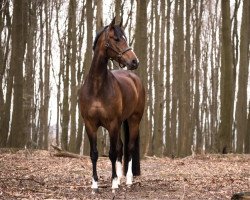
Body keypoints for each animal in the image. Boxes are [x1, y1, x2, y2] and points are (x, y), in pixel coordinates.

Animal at [79, 17, 146, 194]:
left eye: (125, 38)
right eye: (116, 39)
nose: (134, 61)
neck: (97, 87)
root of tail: (134, 77)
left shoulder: (112, 123)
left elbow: (112, 152)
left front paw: (114, 182)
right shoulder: (90, 124)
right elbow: (94, 154)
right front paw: (95, 184)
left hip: (133, 120)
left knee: (128, 148)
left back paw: (127, 180)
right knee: (121, 147)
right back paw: (121, 178)